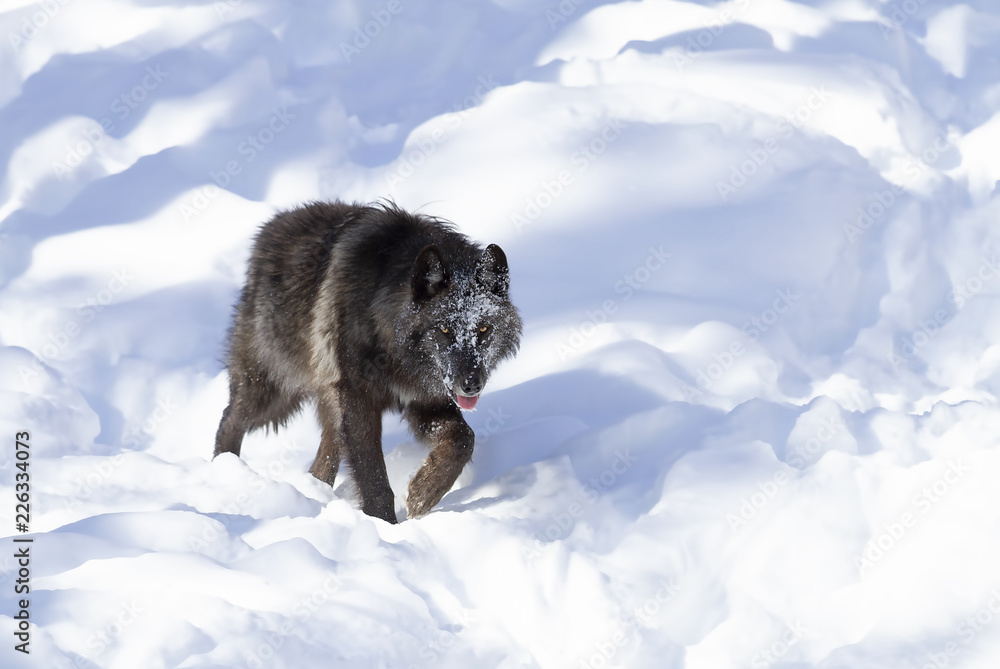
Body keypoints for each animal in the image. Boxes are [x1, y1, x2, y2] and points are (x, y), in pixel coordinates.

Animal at [213, 201, 522, 523]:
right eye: (444, 330)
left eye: (483, 329)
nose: (471, 384)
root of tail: (272, 225)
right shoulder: (359, 398)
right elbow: (373, 476)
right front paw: (384, 525)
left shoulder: (424, 400)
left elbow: (463, 438)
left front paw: (424, 492)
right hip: (273, 395)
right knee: (229, 421)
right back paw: (222, 473)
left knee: (323, 459)